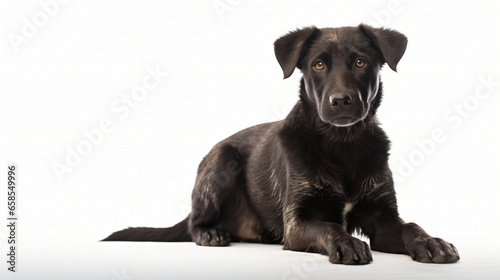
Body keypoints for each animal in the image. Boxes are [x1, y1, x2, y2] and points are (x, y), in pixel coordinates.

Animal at [103, 24, 458, 264]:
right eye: (318, 64)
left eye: (360, 62)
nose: (341, 101)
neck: (342, 145)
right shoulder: (298, 222)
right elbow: (330, 227)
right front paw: (346, 242)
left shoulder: (383, 217)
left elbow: (411, 225)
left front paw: (431, 241)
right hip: (222, 160)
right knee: (193, 223)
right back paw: (210, 233)